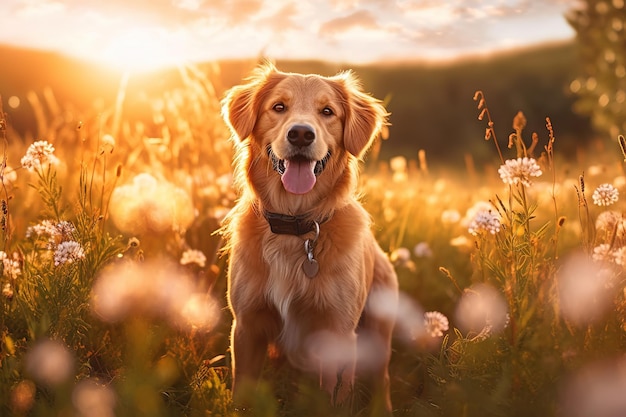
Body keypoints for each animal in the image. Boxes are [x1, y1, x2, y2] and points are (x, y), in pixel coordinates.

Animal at [217, 61, 398, 412]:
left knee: (381, 380)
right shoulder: (247, 326)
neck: (295, 223)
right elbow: (242, 392)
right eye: (279, 107)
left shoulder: (337, 331)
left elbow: (331, 397)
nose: (300, 133)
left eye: (327, 111)